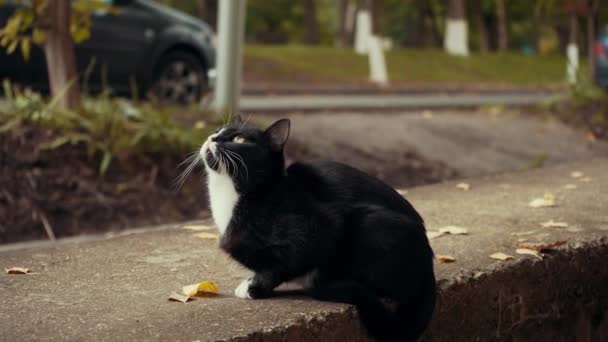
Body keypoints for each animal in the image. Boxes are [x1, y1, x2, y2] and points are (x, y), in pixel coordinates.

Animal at [201, 116, 436, 340]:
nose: (212, 138)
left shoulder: (322, 227)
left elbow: (285, 265)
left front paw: (254, 287)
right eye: (217, 131)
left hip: (371, 222)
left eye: (239, 139)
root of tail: (429, 268)